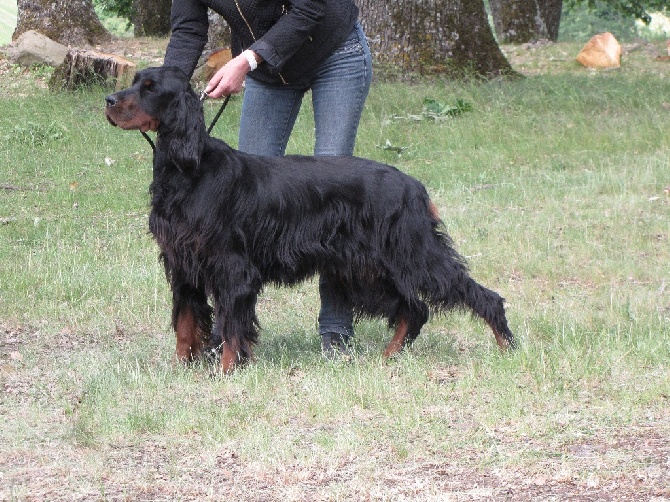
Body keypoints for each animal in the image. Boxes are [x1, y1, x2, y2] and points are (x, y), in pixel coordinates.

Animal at [105, 66, 516, 372]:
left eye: (150, 88)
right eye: (135, 81)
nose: (108, 100)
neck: (189, 170)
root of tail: (414, 186)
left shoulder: (232, 267)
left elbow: (231, 328)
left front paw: (226, 371)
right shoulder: (183, 262)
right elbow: (186, 324)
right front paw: (181, 370)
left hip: (412, 254)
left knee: (481, 297)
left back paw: (507, 347)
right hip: (368, 268)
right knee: (415, 309)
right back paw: (387, 357)